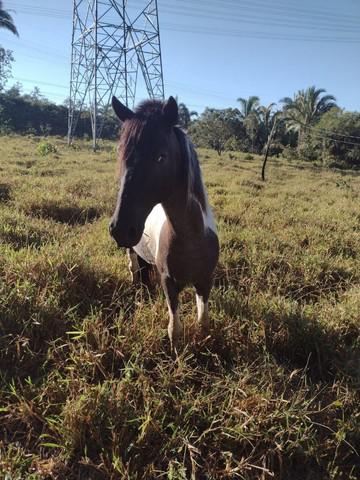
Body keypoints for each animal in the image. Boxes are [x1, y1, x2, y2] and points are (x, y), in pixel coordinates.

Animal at [109, 95, 219, 350]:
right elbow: (174, 330)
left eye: (161, 156)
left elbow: (204, 322)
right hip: (133, 250)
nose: (120, 229)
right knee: (135, 269)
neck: (192, 237)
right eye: (122, 154)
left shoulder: (205, 281)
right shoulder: (169, 283)